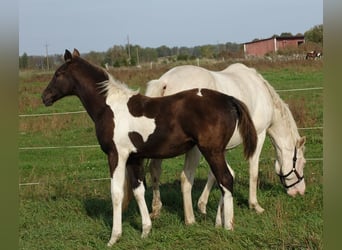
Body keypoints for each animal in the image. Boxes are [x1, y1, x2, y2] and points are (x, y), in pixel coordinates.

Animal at [41, 49, 256, 246]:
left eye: (59, 73)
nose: (45, 97)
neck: (109, 107)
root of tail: (229, 99)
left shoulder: (116, 155)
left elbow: (116, 193)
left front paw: (114, 237)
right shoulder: (134, 158)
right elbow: (138, 190)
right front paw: (145, 231)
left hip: (212, 151)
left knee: (225, 179)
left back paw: (228, 227)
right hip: (216, 151)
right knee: (226, 177)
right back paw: (219, 222)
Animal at [146, 63, 306, 225]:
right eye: (302, 163)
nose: (300, 191)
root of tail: (165, 82)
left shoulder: (220, 148)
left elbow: (216, 174)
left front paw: (203, 206)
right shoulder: (259, 136)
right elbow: (253, 171)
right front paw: (254, 205)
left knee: (155, 170)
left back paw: (156, 209)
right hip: (194, 149)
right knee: (186, 177)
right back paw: (189, 219)